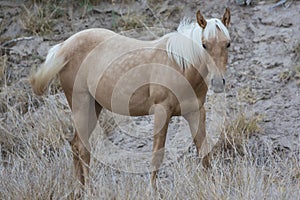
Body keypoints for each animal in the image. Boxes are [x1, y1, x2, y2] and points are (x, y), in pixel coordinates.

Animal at [30, 8, 231, 189]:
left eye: (227, 44)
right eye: (204, 45)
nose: (218, 82)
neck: (179, 65)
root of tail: (63, 47)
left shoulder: (196, 112)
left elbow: (204, 150)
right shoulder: (162, 112)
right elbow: (157, 155)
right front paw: (152, 191)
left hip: (94, 107)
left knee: (75, 144)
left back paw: (79, 189)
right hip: (81, 105)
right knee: (82, 148)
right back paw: (89, 190)